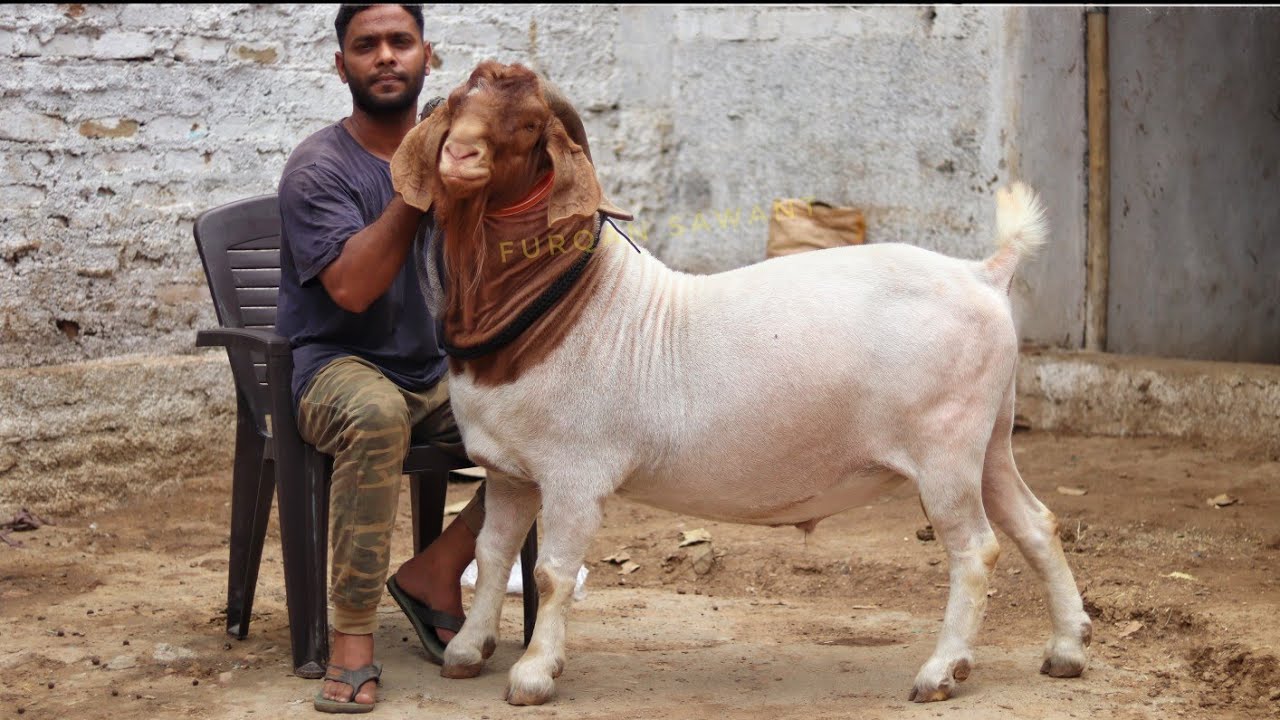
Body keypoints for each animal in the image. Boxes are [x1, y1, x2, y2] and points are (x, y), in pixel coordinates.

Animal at [391, 61, 1092, 706]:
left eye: (531, 125)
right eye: (458, 102)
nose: (459, 155)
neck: (566, 303)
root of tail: (985, 273)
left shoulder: (573, 473)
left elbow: (553, 573)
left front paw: (534, 673)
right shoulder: (509, 473)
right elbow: (491, 556)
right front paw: (466, 650)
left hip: (945, 447)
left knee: (976, 550)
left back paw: (941, 672)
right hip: (989, 438)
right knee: (1037, 523)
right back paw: (1066, 649)